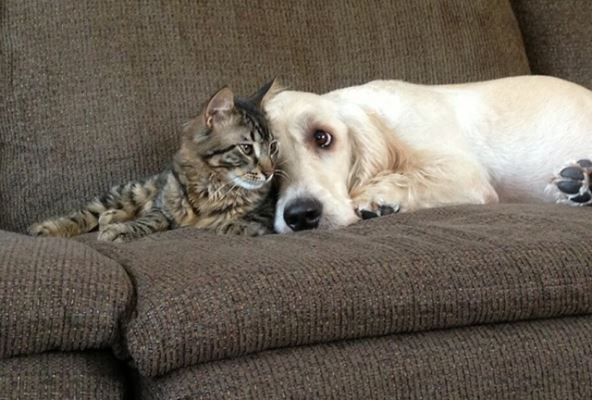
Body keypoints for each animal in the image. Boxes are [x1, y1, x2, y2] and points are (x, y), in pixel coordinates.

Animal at [28, 80, 281, 242]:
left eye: (273, 147)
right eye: (246, 148)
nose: (269, 172)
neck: (214, 184)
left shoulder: (267, 209)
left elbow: (246, 218)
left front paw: (232, 224)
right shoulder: (165, 208)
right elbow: (149, 220)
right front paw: (121, 230)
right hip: (133, 190)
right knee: (88, 213)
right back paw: (47, 227)